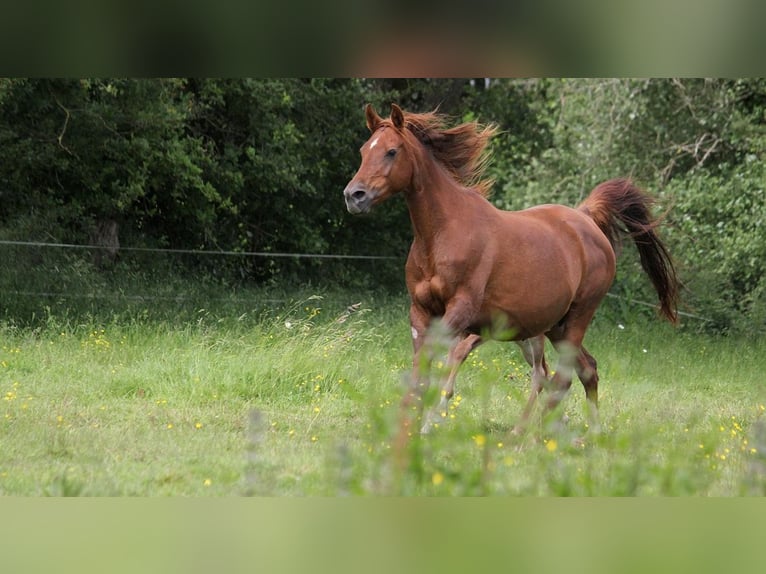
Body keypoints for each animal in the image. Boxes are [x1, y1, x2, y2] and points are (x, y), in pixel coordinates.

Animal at [344, 104, 680, 450]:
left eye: (391, 151)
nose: (354, 195)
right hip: (555, 328)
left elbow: (445, 367)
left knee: (559, 378)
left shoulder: (460, 312)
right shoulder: (421, 313)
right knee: (586, 370)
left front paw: (431, 423)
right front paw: (406, 430)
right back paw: (587, 432)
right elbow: (419, 376)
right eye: (364, 150)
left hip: (577, 318)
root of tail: (585, 218)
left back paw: (533, 436)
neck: (441, 234)